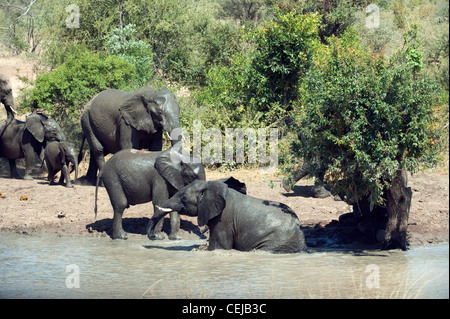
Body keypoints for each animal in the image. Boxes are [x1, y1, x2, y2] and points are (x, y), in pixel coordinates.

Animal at [149, 179, 308, 254]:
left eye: (183, 198)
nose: (153, 237)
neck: (211, 186)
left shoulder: (223, 220)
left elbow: (219, 247)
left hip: (278, 240)